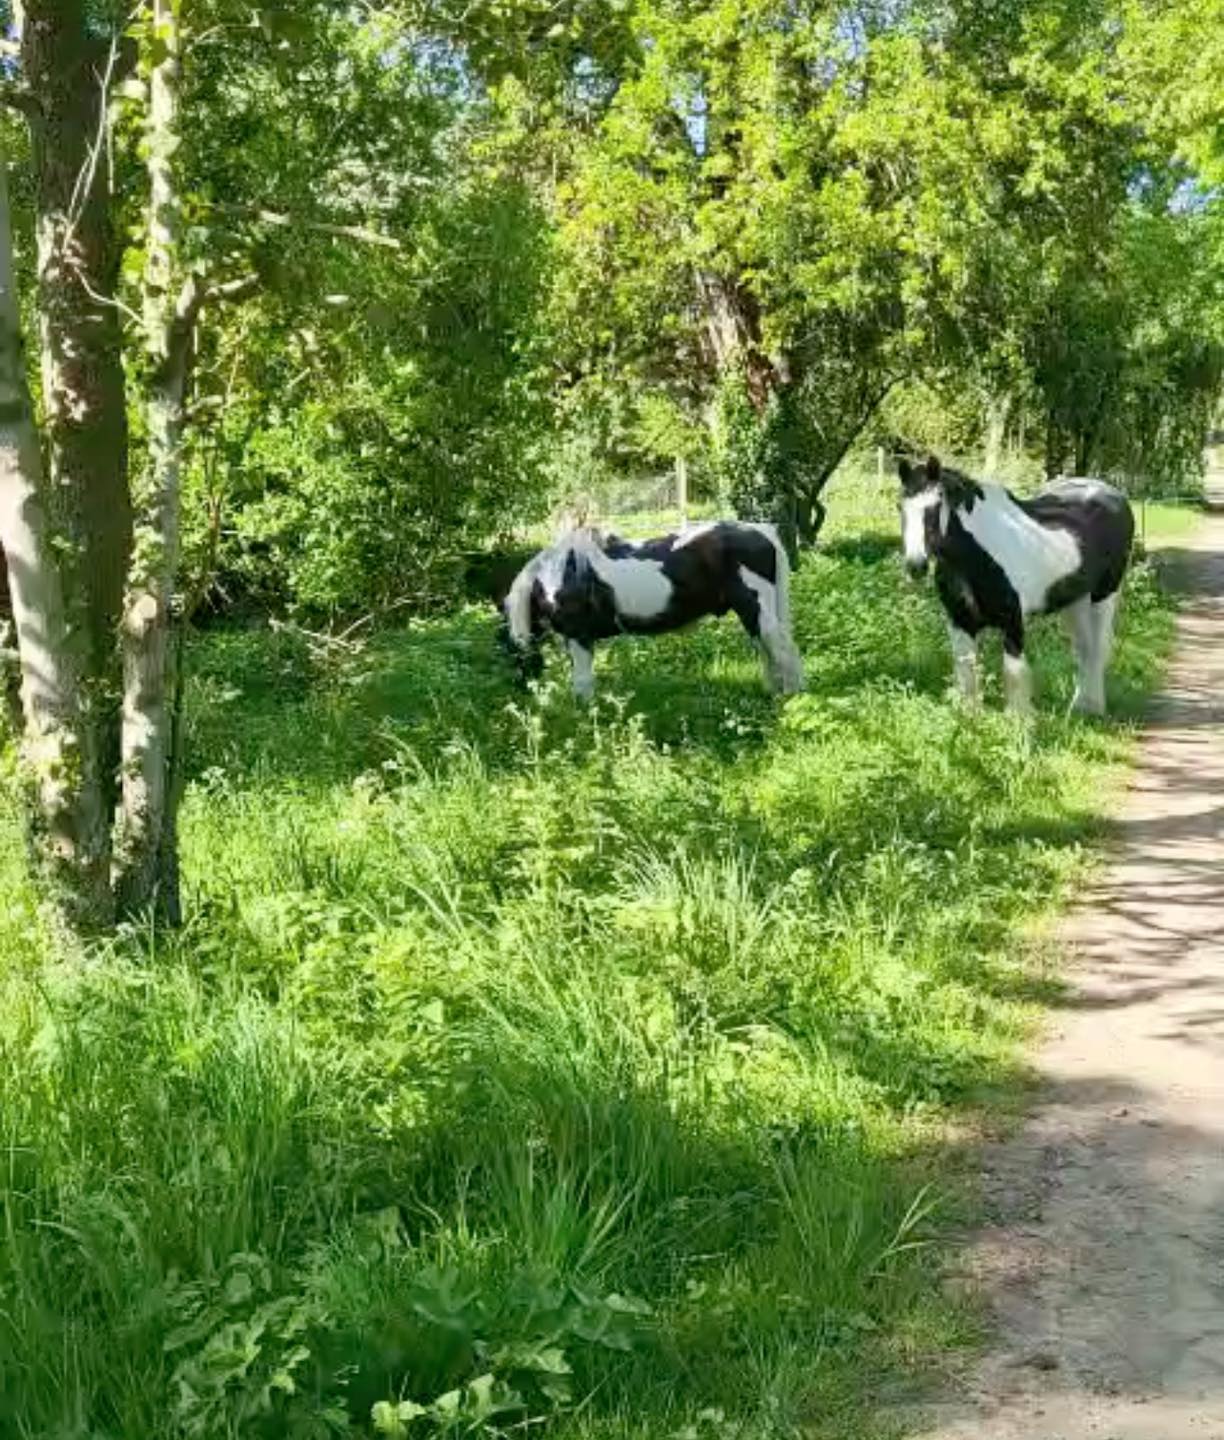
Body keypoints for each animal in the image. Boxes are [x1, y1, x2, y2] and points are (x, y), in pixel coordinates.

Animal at [498, 520, 804, 700]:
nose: (521, 695)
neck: (558, 575)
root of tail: (762, 532)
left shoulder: (579, 638)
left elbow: (582, 684)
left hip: (756, 611)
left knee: (783, 651)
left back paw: (790, 698)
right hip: (752, 615)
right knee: (768, 651)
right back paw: (775, 694)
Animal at [897, 455, 1134, 715]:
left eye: (935, 506)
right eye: (901, 507)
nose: (916, 565)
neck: (978, 555)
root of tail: (1112, 494)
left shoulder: (1012, 622)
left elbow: (1014, 674)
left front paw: (1018, 721)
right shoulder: (960, 621)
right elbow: (966, 671)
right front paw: (969, 717)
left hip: (1104, 595)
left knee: (1097, 648)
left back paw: (1093, 708)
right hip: (1075, 600)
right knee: (1084, 648)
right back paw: (1081, 706)